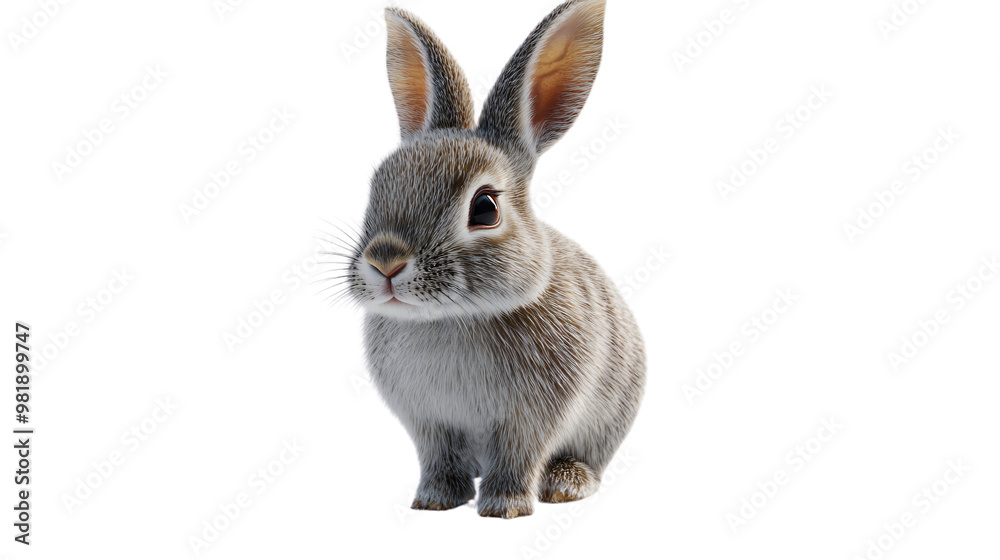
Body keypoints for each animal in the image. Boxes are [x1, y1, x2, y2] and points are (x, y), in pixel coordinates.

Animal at [338, 0, 645, 519]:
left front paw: (504, 507)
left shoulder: (530, 419)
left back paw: (566, 483)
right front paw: (434, 501)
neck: (453, 318)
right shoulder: (430, 424)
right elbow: (438, 459)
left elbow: (518, 456)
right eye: (378, 186)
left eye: (484, 208)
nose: (385, 262)